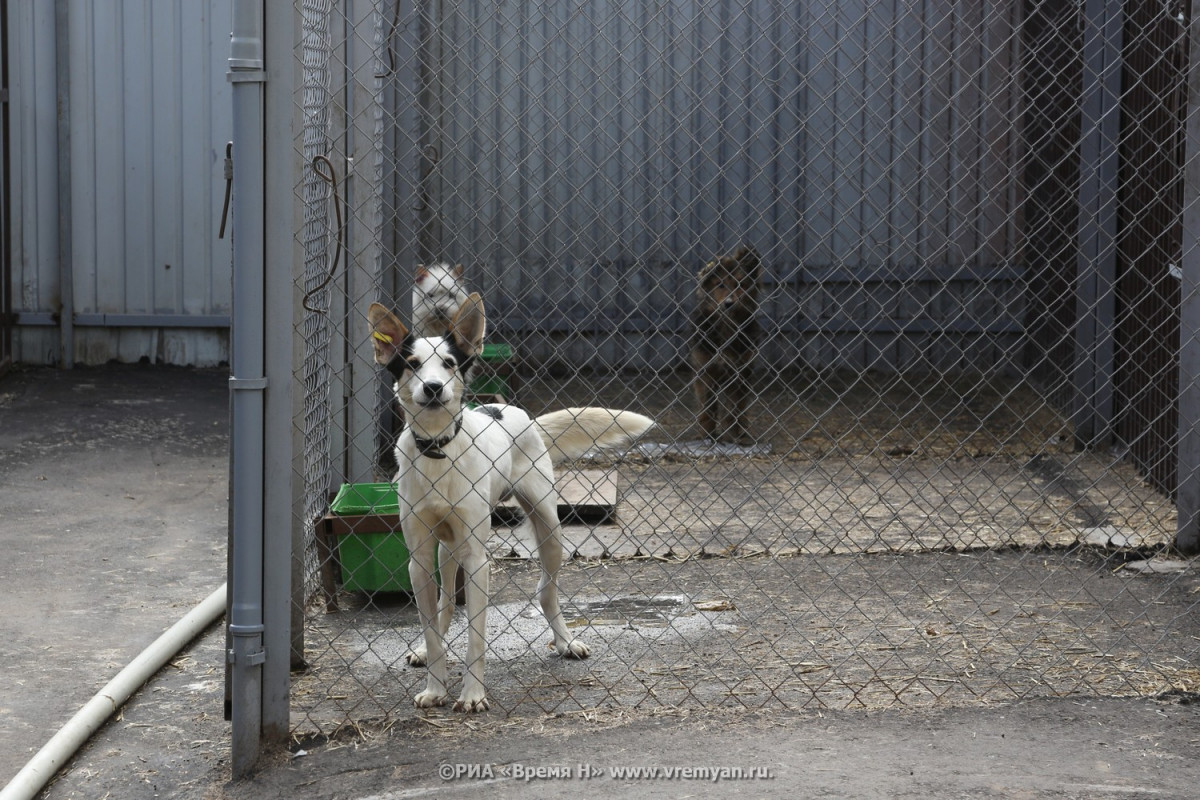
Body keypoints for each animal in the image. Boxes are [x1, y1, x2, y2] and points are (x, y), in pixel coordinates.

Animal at [369, 293, 657, 714]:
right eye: (412, 364)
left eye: (450, 363)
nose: (434, 388)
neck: (439, 449)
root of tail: (524, 416)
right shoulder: (418, 560)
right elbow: (434, 628)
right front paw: (435, 686)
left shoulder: (478, 560)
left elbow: (476, 637)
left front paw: (472, 695)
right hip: (447, 548)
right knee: (445, 605)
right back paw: (425, 646)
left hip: (548, 529)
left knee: (546, 592)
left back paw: (565, 642)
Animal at [691, 247, 763, 443]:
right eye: (720, 285)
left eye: (740, 285)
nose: (729, 304)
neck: (727, 326)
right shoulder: (705, 371)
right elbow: (707, 409)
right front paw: (706, 436)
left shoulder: (739, 374)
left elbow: (733, 410)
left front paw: (731, 436)